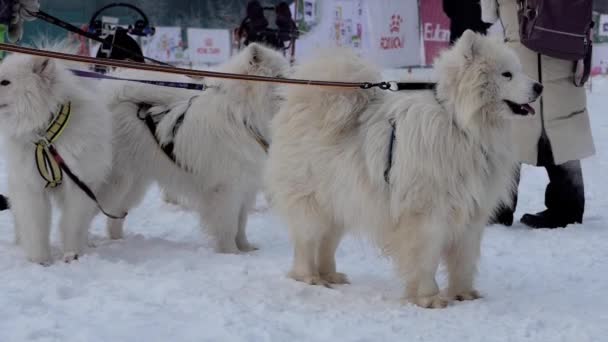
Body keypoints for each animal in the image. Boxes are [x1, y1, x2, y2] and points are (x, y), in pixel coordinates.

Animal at [0, 52, 113, 264]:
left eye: (5, 82)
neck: (46, 136)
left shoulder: (78, 185)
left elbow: (72, 224)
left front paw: (72, 255)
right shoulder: (31, 187)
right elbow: (36, 226)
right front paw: (40, 260)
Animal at [98, 42, 288, 252]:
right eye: (280, 76)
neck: (242, 116)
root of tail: (112, 99)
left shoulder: (245, 188)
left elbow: (241, 225)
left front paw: (246, 249)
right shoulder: (227, 190)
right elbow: (229, 227)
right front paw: (230, 252)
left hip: (134, 183)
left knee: (115, 214)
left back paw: (118, 240)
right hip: (117, 181)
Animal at [266, 30, 540, 308]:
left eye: (519, 70)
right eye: (507, 74)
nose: (539, 87)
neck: (461, 126)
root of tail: (303, 102)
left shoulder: (471, 214)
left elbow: (464, 260)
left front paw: (463, 294)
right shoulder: (427, 214)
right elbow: (426, 259)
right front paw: (429, 298)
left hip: (342, 202)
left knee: (327, 244)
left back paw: (330, 275)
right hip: (313, 203)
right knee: (307, 242)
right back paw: (310, 278)